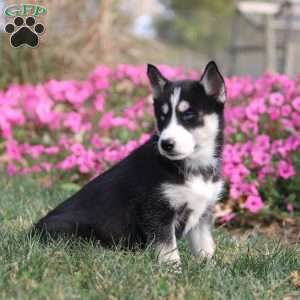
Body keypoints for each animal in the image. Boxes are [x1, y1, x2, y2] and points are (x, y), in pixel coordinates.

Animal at [33, 60, 225, 264]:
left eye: (189, 115)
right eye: (162, 117)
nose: (166, 144)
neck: (195, 166)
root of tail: (32, 231)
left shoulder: (202, 215)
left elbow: (205, 247)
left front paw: (209, 266)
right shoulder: (157, 212)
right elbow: (168, 250)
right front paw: (173, 270)